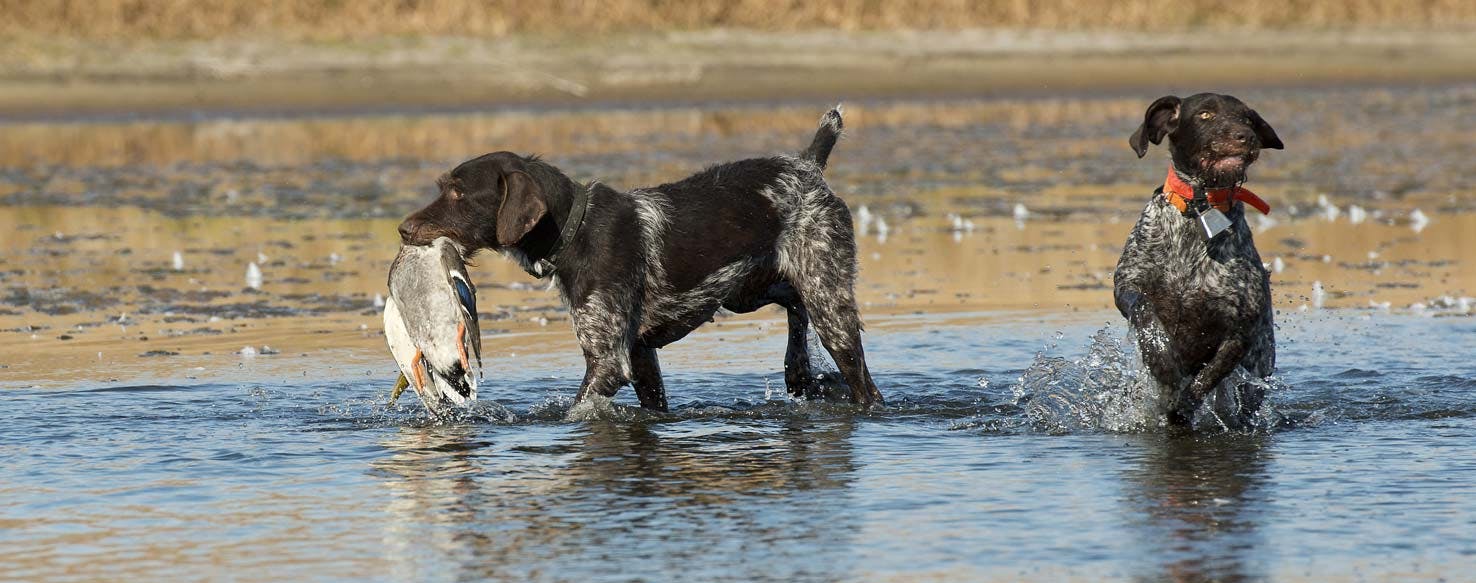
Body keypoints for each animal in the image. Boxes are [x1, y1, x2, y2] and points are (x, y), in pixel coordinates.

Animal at [398, 107, 879, 413]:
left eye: (458, 193)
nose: (402, 229)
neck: (577, 230)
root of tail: (808, 168)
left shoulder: (609, 362)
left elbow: (578, 411)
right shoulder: (641, 354)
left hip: (830, 305)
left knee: (861, 380)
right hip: (754, 291)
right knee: (796, 311)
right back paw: (797, 369)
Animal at [1109, 92, 1287, 428]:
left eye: (1247, 118)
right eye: (1205, 115)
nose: (1246, 136)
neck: (1200, 210)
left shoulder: (1241, 330)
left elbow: (1208, 377)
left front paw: (1182, 407)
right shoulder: (1128, 286)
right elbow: (1145, 314)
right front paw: (1161, 359)